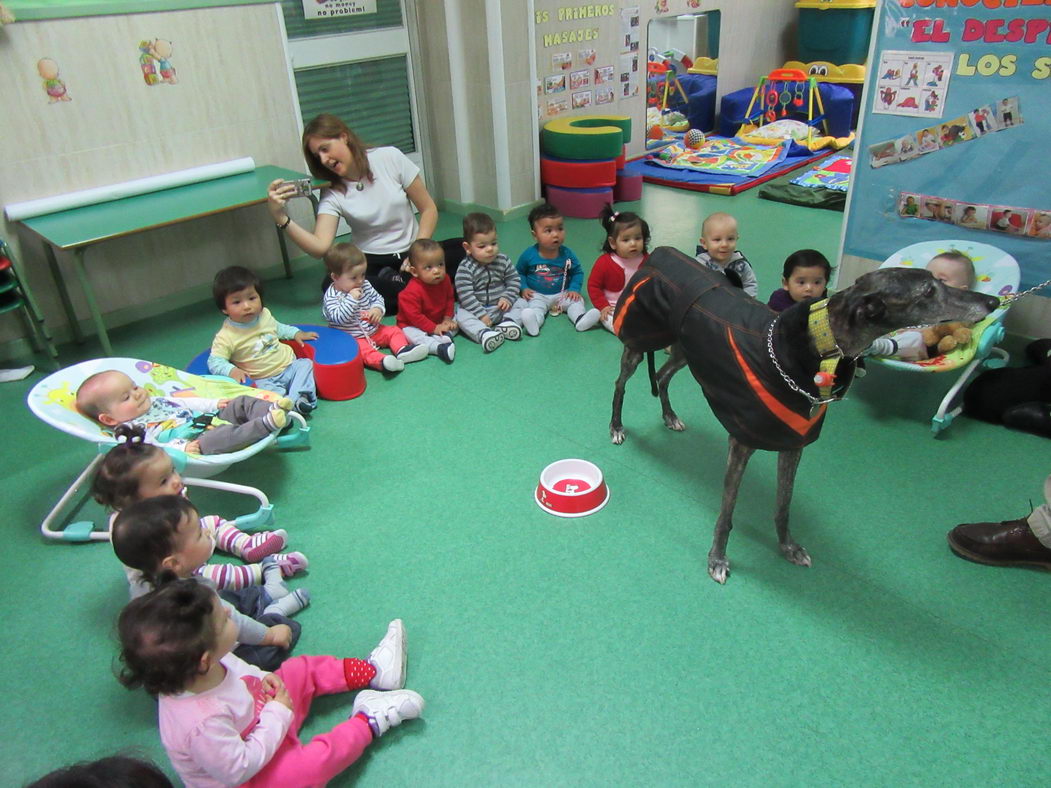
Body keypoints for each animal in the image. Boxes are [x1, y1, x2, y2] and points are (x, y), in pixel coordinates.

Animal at [613, 246, 996, 588]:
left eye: (939, 282)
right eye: (929, 291)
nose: (992, 303)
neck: (816, 345)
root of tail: (660, 252)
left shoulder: (793, 443)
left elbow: (783, 506)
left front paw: (788, 547)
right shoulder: (742, 443)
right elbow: (727, 512)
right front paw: (717, 558)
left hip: (684, 348)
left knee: (662, 376)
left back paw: (670, 416)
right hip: (640, 340)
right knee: (621, 383)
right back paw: (616, 427)